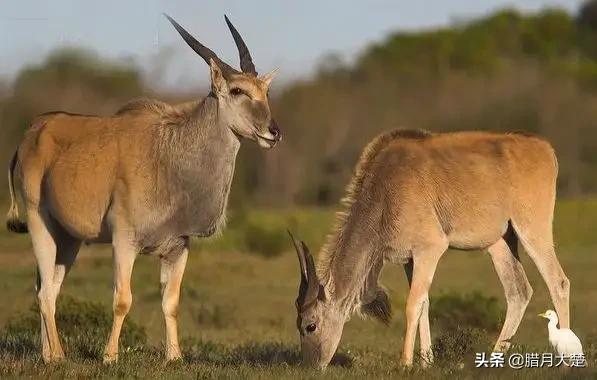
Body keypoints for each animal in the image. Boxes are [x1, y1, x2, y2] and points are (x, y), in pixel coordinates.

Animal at [5, 14, 282, 364]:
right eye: (237, 90)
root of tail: (32, 132)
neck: (169, 152)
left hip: (68, 240)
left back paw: (48, 354)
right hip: (40, 224)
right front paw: (110, 357)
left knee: (47, 288)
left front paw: (174, 356)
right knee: (45, 294)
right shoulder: (125, 241)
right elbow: (123, 299)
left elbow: (171, 302)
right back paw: (58, 356)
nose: (273, 132)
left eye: (265, 92)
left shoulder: (178, 247)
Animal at [292, 128, 572, 368]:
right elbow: (424, 303)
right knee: (519, 292)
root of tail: (545, 149)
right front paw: (427, 362)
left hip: (533, 230)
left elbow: (413, 304)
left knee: (558, 282)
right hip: (501, 243)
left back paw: (567, 361)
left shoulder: (430, 248)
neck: (384, 191)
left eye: (310, 326)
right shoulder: (410, 260)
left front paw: (406, 363)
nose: (311, 366)